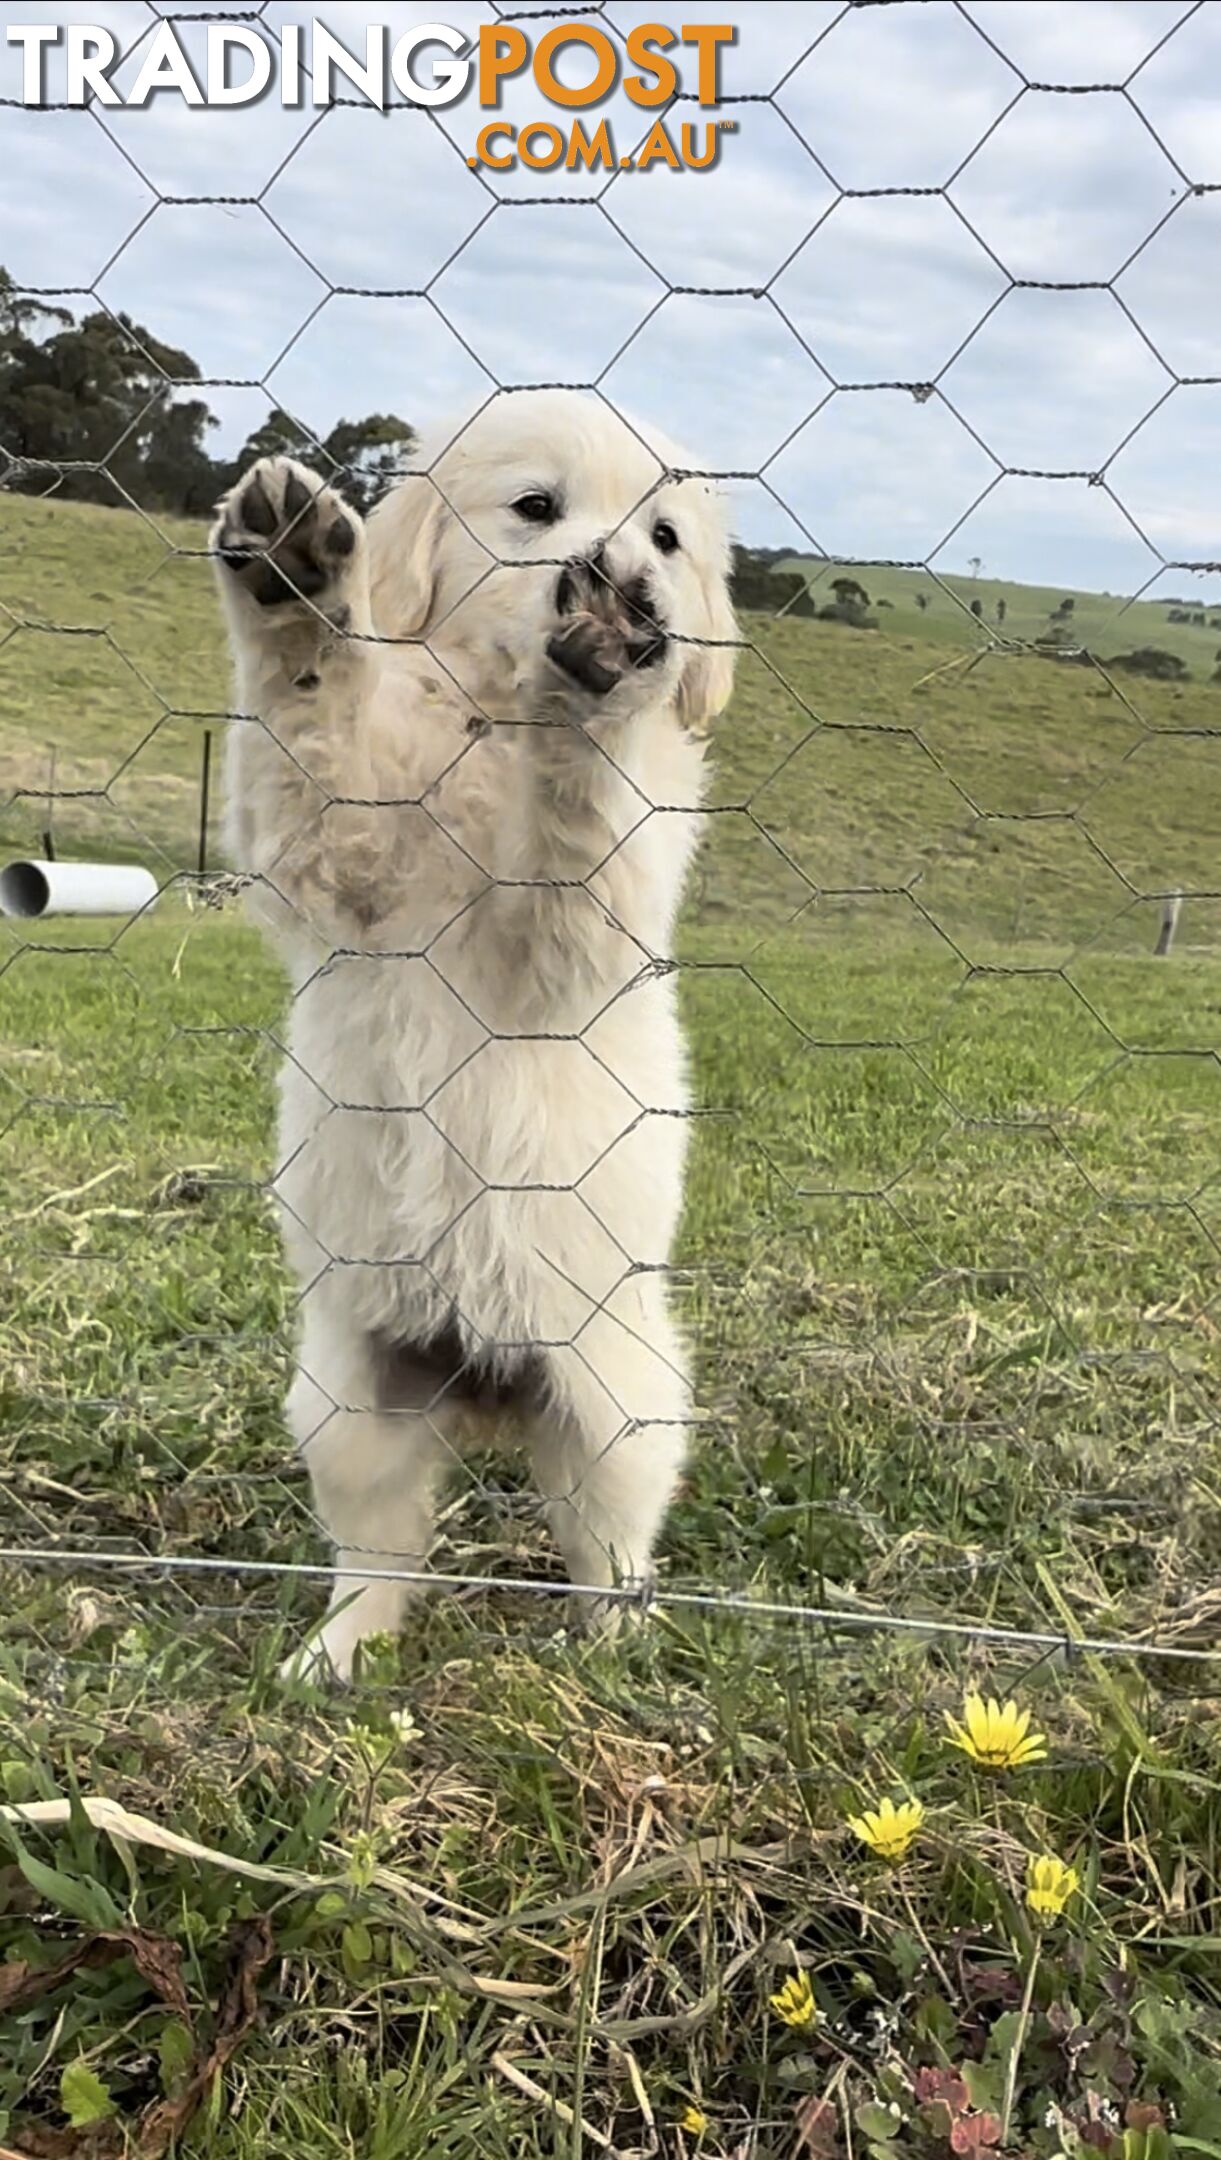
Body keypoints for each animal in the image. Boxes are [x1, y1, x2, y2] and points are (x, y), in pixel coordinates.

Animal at [211, 388, 734, 1676]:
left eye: (666, 538)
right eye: (535, 508)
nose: (620, 579)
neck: (494, 726)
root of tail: (484, 1386)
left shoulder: (573, 939)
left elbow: (580, 818)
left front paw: (599, 676)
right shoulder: (342, 861)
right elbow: (310, 715)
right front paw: (296, 580)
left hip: (620, 1404)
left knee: (607, 1544)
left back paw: (618, 1648)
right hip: (348, 1401)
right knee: (382, 1554)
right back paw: (336, 1654)